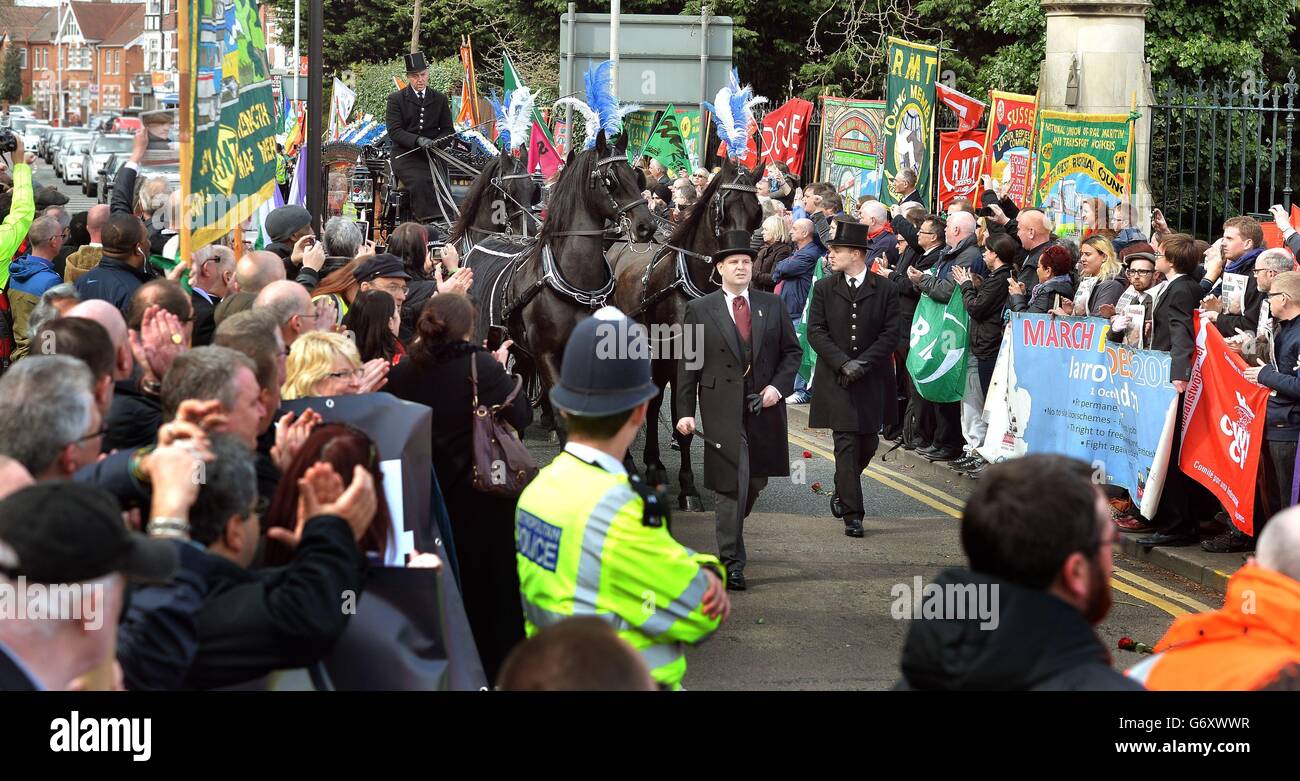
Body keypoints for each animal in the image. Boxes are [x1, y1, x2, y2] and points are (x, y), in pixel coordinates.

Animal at [605, 157, 759, 509]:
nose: (742, 259)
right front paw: (677, 481)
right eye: (722, 209)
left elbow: (683, 418)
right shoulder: (675, 362)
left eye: (756, 212)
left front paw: (684, 483)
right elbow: (674, 413)